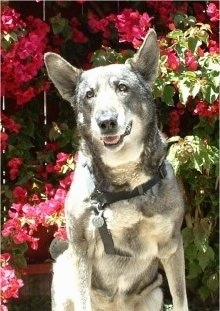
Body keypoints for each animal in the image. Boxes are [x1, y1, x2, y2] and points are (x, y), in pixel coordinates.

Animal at [45, 29, 189, 311]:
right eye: (89, 95)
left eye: (123, 88)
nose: (106, 121)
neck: (124, 180)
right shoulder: (80, 249)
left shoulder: (172, 246)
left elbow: (181, 300)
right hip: (65, 274)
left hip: (154, 293)